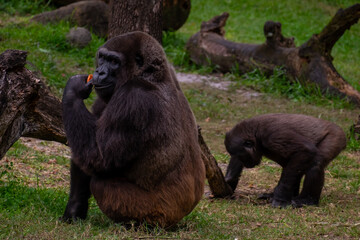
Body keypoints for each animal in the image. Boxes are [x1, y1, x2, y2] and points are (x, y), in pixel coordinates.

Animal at [60, 31, 204, 227]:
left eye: (114, 61)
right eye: (102, 57)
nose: (99, 72)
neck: (149, 75)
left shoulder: (134, 99)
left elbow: (97, 157)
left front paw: (73, 90)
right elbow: (85, 152)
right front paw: (74, 208)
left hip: (159, 215)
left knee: (101, 183)